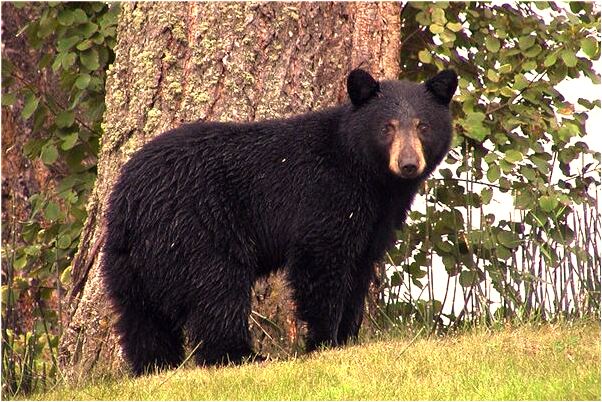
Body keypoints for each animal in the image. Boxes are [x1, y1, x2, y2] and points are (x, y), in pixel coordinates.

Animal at [103, 68, 454, 374]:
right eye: (387, 127)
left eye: (423, 126)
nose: (408, 164)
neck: (369, 176)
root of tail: (129, 202)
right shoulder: (326, 195)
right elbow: (321, 262)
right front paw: (323, 342)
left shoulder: (376, 219)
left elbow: (359, 269)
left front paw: (347, 338)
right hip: (195, 230)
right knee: (216, 291)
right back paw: (242, 356)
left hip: (129, 260)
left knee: (142, 317)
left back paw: (155, 366)